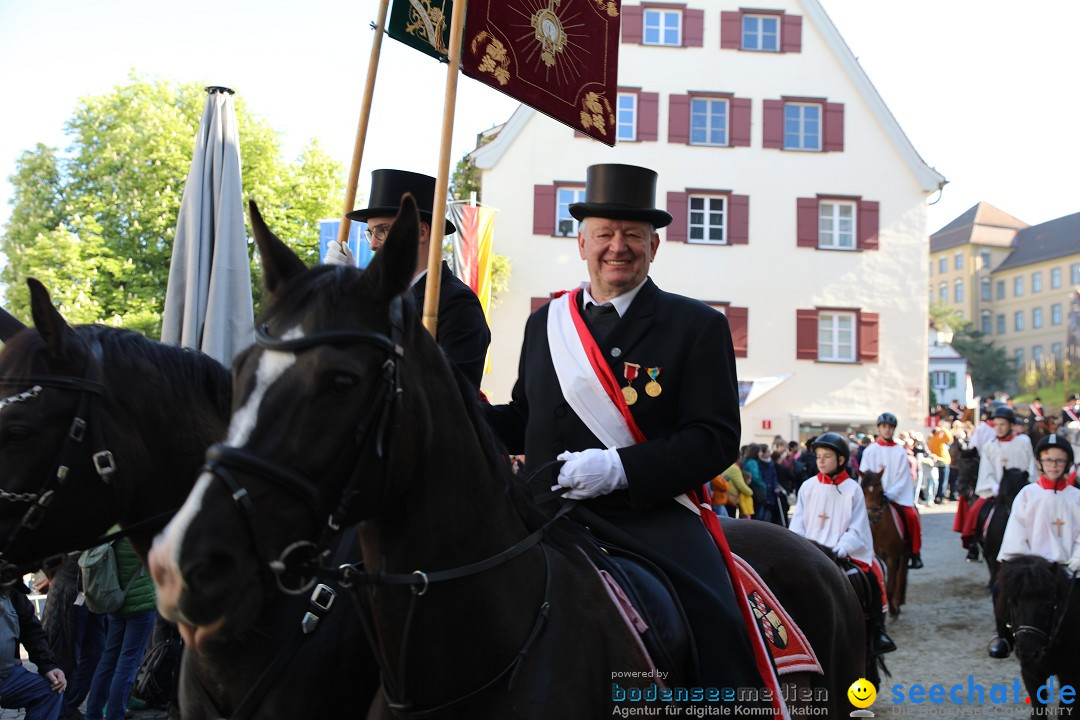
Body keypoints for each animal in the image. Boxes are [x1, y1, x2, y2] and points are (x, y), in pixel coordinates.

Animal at [855, 470, 907, 617]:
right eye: (863, 491)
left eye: (881, 492)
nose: (872, 515)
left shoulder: (891, 557)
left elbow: (889, 587)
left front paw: (894, 610)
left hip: (904, 554)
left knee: (901, 575)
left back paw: (898, 601)